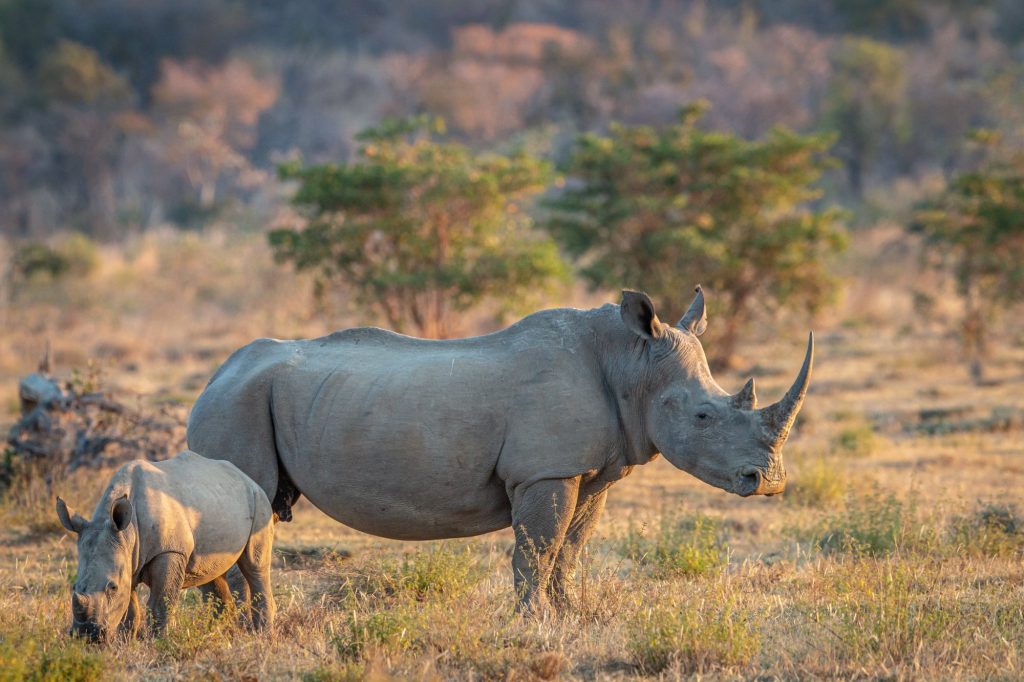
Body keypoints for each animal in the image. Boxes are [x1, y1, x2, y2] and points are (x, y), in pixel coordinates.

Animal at [56, 450, 275, 642]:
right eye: (74, 587)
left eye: (112, 587)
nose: (87, 636)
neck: (127, 532)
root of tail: (244, 476)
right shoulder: (127, 557)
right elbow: (129, 609)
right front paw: (125, 642)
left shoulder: (169, 550)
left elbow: (160, 604)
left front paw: (158, 642)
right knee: (211, 573)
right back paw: (222, 635)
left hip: (259, 501)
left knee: (255, 567)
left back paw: (262, 636)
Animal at [187, 288, 812, 610]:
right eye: (704, 416)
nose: (769, 481)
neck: (630, 362)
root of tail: (214, 376)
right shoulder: (545, 471)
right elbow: (537, 550)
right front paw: (532, 624)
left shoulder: (588, 472)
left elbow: (570, 551)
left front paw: (569, 618)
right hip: (236, 402)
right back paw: (250, 627)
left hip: (247, 398)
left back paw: (229, 626)